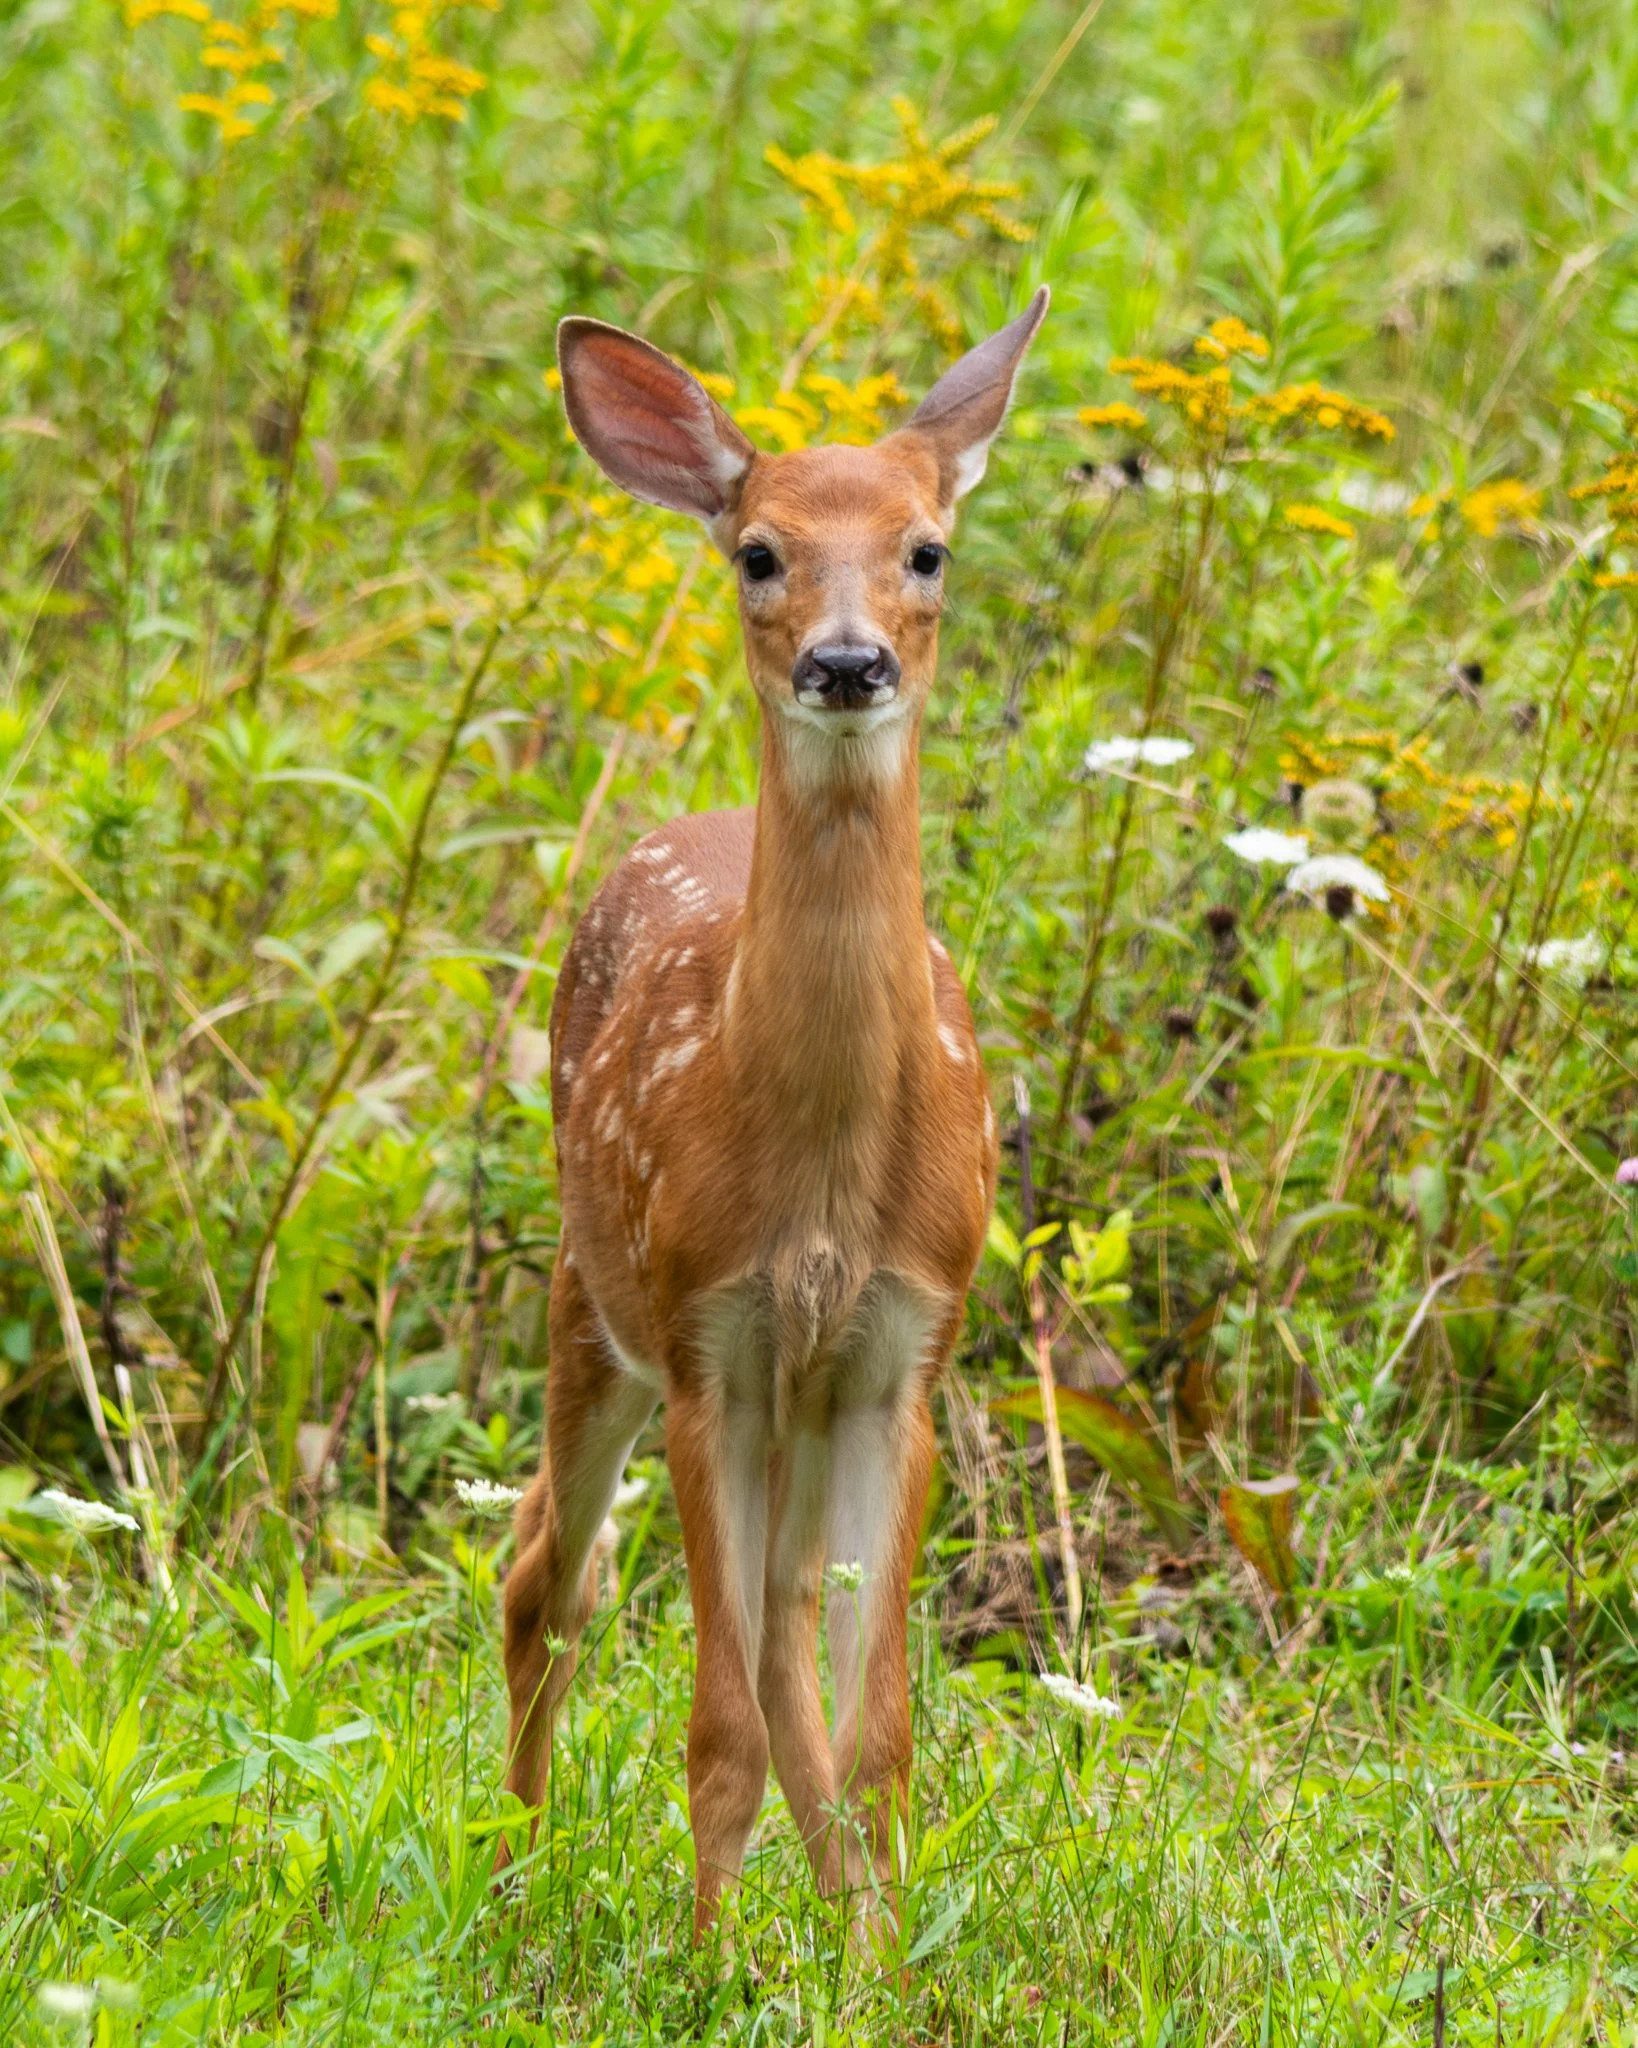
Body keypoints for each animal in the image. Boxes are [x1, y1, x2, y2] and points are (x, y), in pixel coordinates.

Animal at [499, 286, 1049, 1938]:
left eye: (926, 549)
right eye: (758, 551)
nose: (848, 662)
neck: (815, 1184)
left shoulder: (894, 1356)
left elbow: (874, 1735)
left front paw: (874, 1963)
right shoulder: (708, 1345)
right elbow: (717, 1727)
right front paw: (699, 1959)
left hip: (790, 1405)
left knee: (784, 1625)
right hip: (590, 1285)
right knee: (547, 1572)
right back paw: (512, 1866)